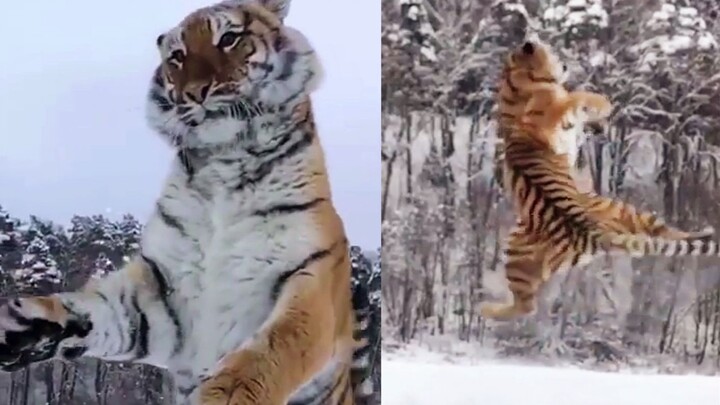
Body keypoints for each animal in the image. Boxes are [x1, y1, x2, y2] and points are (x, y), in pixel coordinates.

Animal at [0, 1, 375, 404]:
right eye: (177, 56)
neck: (225, 165)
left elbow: (267, 353)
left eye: (229, 38)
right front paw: (22, 328)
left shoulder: (311, 280)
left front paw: (220, 394)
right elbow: (93, 308)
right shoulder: (161, 294)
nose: (196, 92)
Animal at [480, 39, 718, 321]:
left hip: (617, 215)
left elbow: (575, 102)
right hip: (523, 250)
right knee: (526, 307)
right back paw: (486, 309)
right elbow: (573, 98)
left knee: (669, 234)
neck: (518, 74)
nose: (564, 64)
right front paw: (601, 102)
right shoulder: (551, 116)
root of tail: (593, 235)